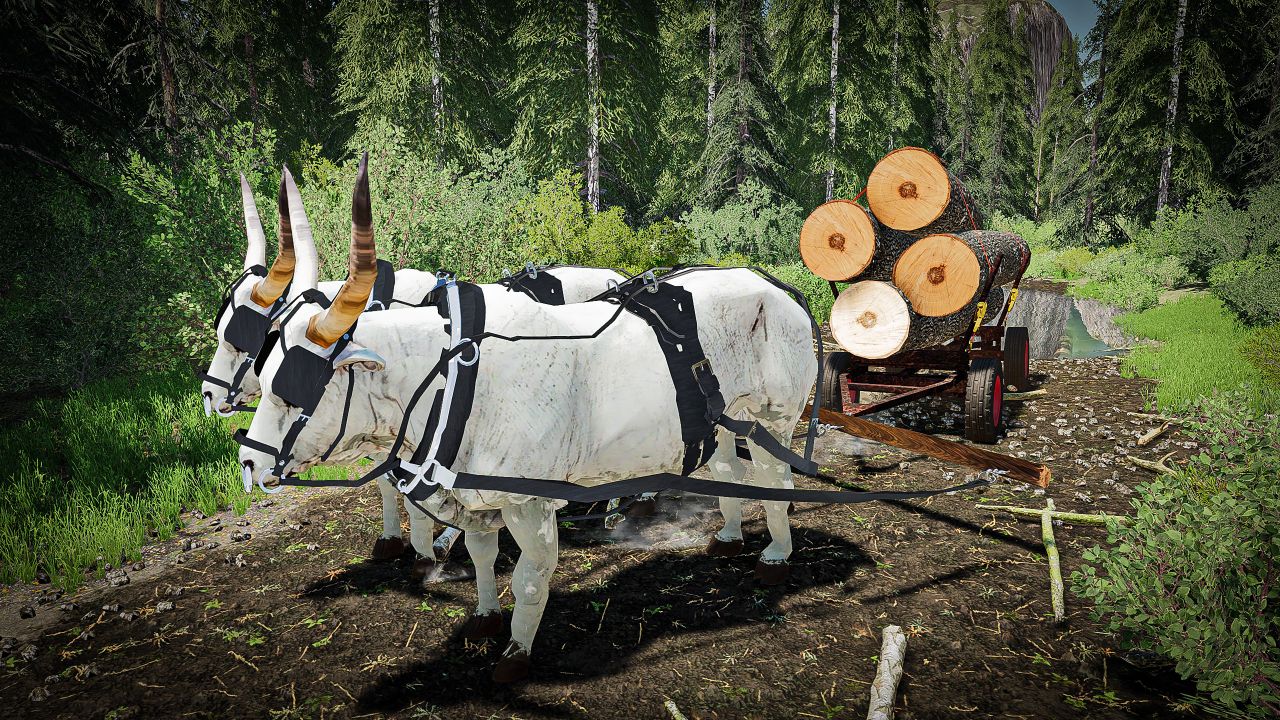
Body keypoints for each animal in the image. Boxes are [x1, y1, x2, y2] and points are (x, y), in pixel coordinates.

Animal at [202, 166, 622, 571]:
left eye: (246, 341)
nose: (208, 393)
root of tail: (614, 277)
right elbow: (391, 486)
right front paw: (397, 540)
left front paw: (430, 544)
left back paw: (612, 511)